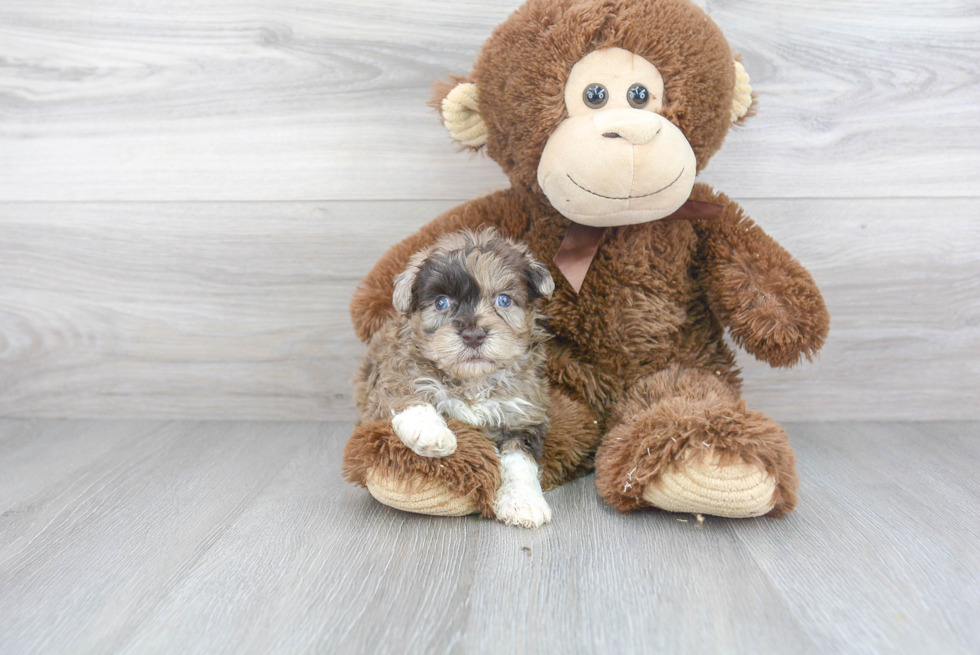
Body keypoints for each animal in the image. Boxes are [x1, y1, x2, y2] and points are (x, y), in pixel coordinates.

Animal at [358, 229, 560, 528]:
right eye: (441, 303)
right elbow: (407, 396)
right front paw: (432, 433)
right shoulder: (392, 378)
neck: (472, 381)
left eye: (503, 300)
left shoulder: (523, 414)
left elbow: (519, 461)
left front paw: (522, 502)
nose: (473, 335)